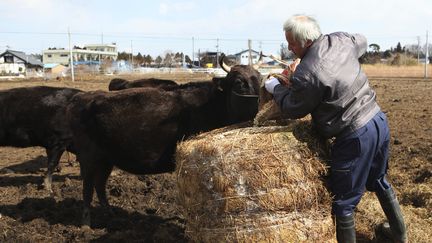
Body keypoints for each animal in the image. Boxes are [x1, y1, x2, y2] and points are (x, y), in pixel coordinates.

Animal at [67, 57, 262, 226]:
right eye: (239, 83)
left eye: (261, 79)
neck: (213, 105)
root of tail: (82, 98)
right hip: (88, 157)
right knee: (87, 189)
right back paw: (86, 224)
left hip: (106, 159)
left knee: (99, 185)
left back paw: (111, 215)